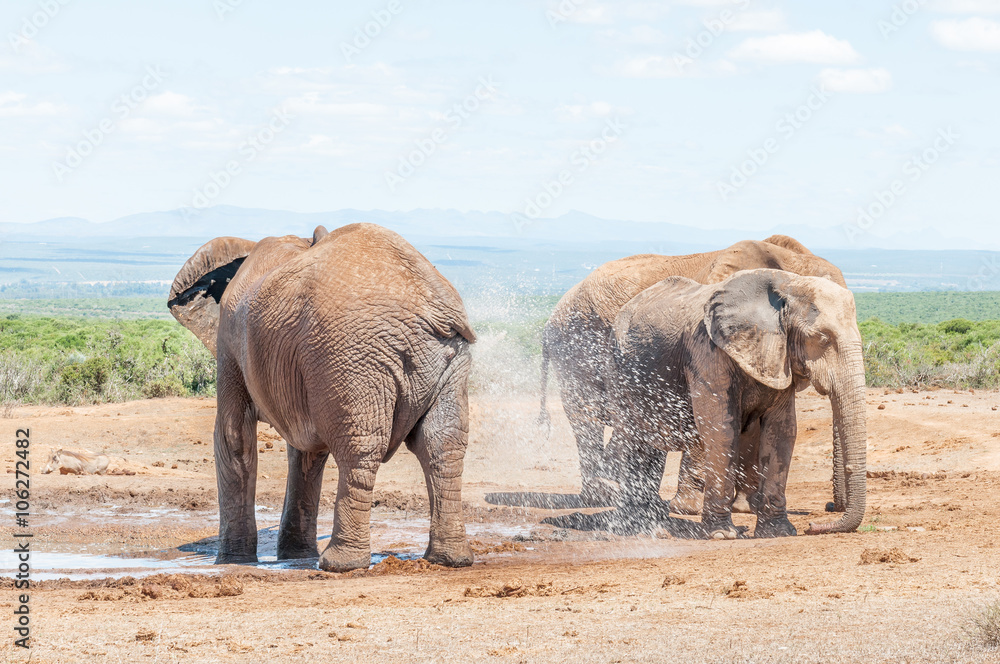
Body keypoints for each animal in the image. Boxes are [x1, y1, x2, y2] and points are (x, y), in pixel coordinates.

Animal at [168, 223, 477, 572]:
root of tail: (427, 307)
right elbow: (307, 451)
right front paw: (295, 556)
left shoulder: (231, 338)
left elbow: (234, 435)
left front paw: (232, 562)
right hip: (443, 356)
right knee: (442, 443)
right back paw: (450, 559)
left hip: (352, 354)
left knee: (361, 448)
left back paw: (341, 564)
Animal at [538, 236, 850, 515]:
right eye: (819, 338)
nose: (830, 506)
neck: (787, 260)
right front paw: (690, 509)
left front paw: (744, 509)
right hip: (576, 347)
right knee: (588, 420)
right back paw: (604, 497)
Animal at [604, 269, 868, 539]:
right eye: (822, 338)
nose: (813, 526)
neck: (788, 283)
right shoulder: (707, 351)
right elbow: (721, 429)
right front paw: (722, 534)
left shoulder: (778, 359)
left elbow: (782, 431)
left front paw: (779, 533)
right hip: (617, 366)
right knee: (632, 440)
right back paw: (641, 528)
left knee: (650, 446)